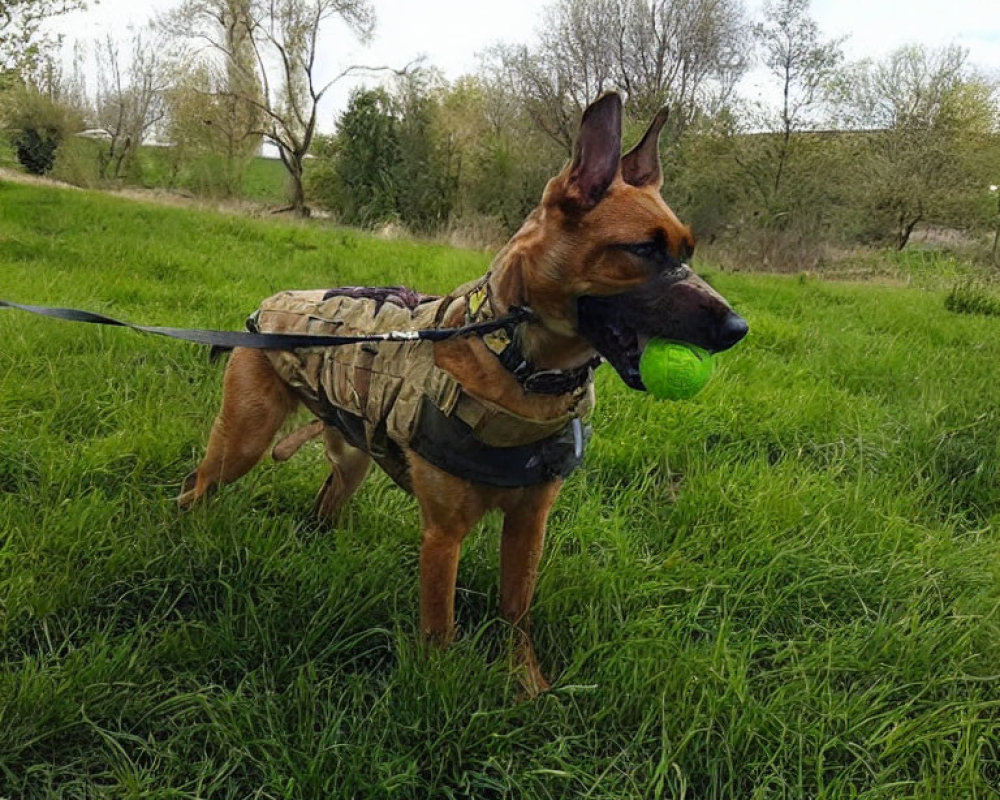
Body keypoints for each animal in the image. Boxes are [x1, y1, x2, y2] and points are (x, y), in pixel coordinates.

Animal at [180, 90, 748, 696]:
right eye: (642, 250)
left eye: (688, 251)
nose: (738, 329)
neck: (516, 360)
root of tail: (264, 308)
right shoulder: (443, 535)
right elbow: (440, 628)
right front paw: (440, 690)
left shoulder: (529, 524)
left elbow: (516, 610)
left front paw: (527, 683)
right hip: (244, 440)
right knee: (197, 487)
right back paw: (188, 534)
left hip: (350, 458)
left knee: (323, 507)